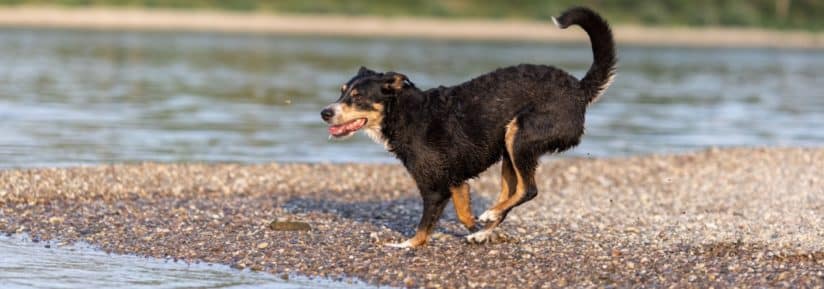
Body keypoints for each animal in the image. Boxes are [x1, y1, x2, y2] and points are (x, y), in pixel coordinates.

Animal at [320, 6, 612, 248]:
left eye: (357, 97)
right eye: (342, 91)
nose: (325, 113)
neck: (404, 113)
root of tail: (579, 89)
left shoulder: (434, 187)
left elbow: (424, 226)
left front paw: (407, 245)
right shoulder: (456, 181)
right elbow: (463, 213)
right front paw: (479, 230)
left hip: (520, 136)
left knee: (529, 189)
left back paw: (491, 214)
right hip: (509, 151)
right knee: (513, 191)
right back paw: (486, 228)